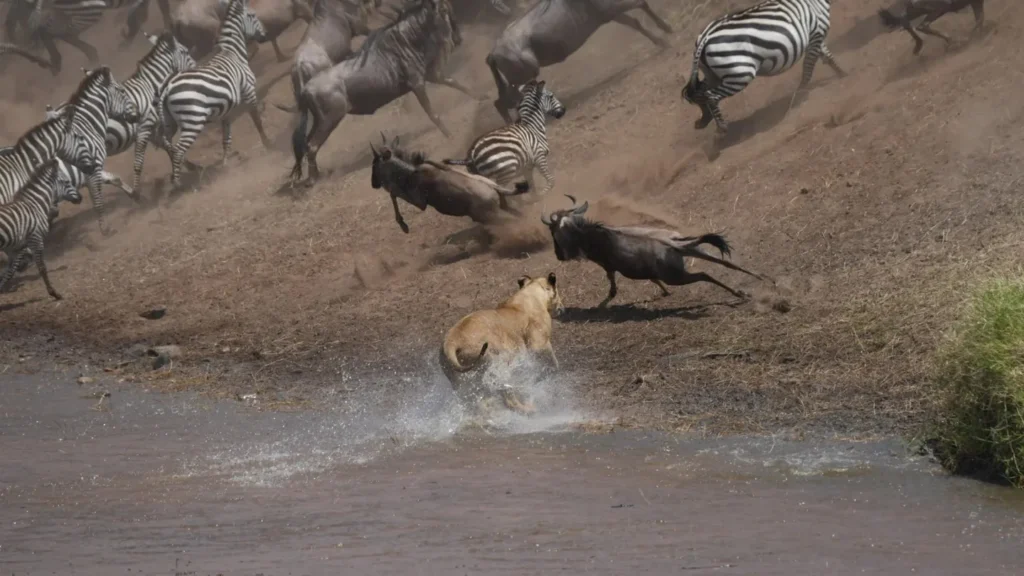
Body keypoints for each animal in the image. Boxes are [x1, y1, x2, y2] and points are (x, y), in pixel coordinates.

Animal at [0, 159, 78, 300]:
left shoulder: (16, 246)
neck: (35, 205)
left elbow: (10, 270)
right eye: (66, 182)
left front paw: (2, 288)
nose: (80, 198)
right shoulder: (36, 239)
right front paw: (54, 293)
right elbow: (42, 267)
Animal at [145, 0, 268, 189]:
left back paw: (184, 173)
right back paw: (181, 183)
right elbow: (257, 120)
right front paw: (267, 144)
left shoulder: (226, 110)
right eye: (253, 15)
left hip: (170, 122)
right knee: (178, 149)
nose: (264, 36)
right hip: (193, 121)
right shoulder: (249, 93)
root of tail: (167, 87)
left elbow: (226, 137)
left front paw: (226, 164)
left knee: (166, 142)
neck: (232, 52)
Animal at [681, 0, 847, 134]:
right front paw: (801, 92)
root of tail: (705, 36)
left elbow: (827, 57)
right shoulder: (817, 32)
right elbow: (809, 67)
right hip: (741, 73)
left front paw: (843, 74)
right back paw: (722, 128)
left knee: (700, 91)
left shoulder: (816, 37)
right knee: (711, 95)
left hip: (713, 73)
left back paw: (705, 120)